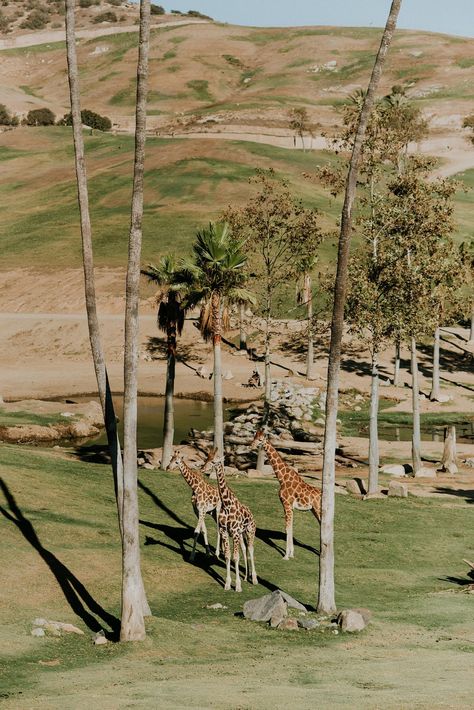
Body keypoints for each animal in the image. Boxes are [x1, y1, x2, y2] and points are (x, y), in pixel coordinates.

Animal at [209, 456, 258, 596]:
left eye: (215, 461)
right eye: (208, 459)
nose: (204, 468)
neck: (226, 504)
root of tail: (252, 514)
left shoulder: (235, 532)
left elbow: (235, 557)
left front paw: (238, 586)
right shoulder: (225, 531)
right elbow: (227, 556)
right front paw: (227, 584)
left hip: (250, 531)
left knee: (251, 549)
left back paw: (254, 579)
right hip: (241, 534)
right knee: (244, 548)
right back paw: (246, 576)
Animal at [250, 428, 320, 560]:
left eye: (260, 440)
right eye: (254, 437)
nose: (251, 446)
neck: (281, 478)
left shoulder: (286, 503)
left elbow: (287, 528)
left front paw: (286, 555)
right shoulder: (288, 506)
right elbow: (290, 527)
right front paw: (291, 554)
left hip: (318, 510)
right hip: (314, 510)